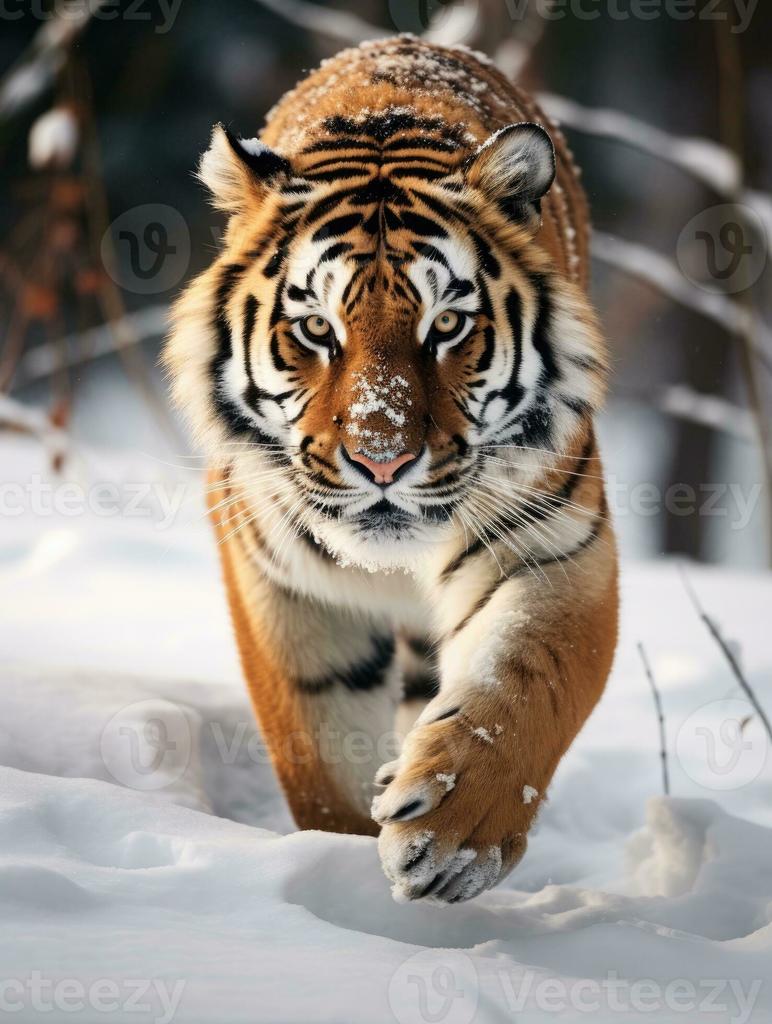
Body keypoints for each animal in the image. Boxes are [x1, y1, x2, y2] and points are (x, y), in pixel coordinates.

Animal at [164, 34, 618, 903]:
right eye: (316, 329)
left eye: (447, 326)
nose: (383, 459)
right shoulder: (284, 584)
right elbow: (320, 754)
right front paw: (336, 868)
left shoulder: (554, 549)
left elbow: (520, 687)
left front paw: (453, 836)